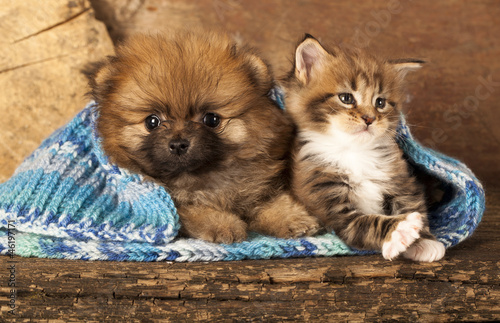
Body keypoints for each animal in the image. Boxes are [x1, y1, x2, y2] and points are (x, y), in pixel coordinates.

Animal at [86, 33, 318, 244]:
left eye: (211, 119)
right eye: (152, 122)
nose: (178, 144)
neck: (203, 176)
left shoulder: (260, 187)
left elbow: (276, 203)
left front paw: (294, 219)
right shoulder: (177, 206)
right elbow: (200, 211)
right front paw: (224, 225)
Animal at [282, 35, 446, 264]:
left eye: (380, 102)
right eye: (346, 98)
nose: (369, 118)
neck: (354, 151)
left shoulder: (401, 180)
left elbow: (413, 205)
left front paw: (424, 241)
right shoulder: (331, 204)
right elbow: (369, 222)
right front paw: (400, 230)